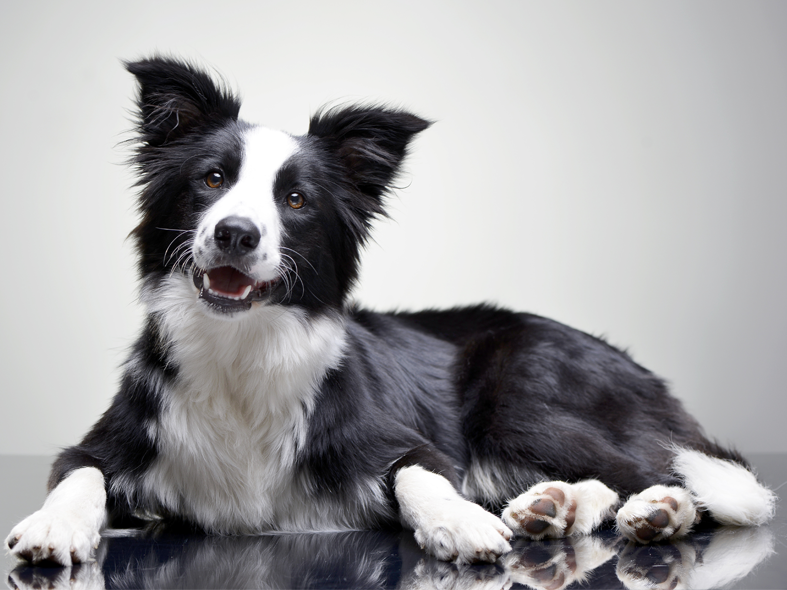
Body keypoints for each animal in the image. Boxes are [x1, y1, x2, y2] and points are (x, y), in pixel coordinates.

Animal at [6, 56, 776, 568]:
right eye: (212, 179)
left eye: (296, 200)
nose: (235, 233)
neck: (243, 351)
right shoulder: (107, 443)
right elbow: (76, 476)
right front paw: (53, 527)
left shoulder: (406, 442)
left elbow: (419, 474)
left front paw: (458, 523)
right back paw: (553, 508)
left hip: (520, 395)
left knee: (690, 475)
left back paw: (655, 510)